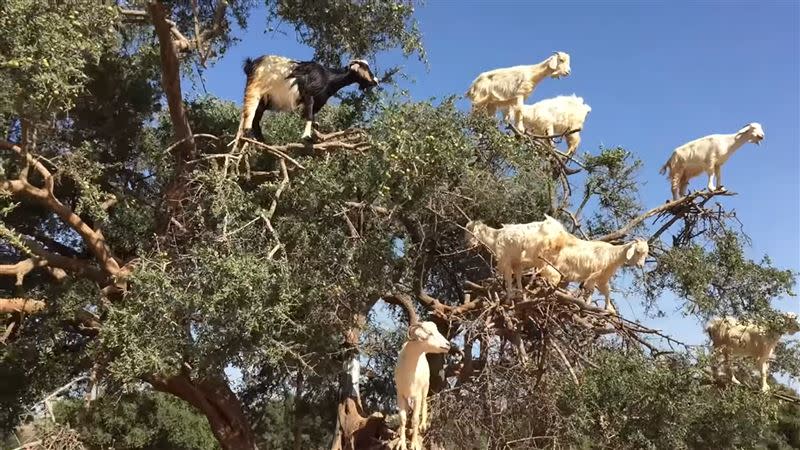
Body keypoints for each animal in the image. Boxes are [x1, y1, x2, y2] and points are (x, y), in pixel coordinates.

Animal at [238, 54, 378, 142]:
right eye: (365, 67)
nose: (376, 80)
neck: (328, 77)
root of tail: (251, 64)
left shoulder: (318, 102)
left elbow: (313, 119)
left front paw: (317, 136)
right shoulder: (309, 94)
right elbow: (309, 115)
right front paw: (306, 136)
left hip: (263, 100)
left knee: (256, 120)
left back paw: (263, 142)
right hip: (254, 90)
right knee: (249, 112)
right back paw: (249, 136)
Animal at [394, 320, 450, 450]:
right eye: (429, 333)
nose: (447, 344)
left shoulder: (417, 396)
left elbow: (415, 419)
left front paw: (414, 444)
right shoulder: (400, 394)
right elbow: (402, 419)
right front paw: (402, 444)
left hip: (425, 388)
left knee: (425, 403)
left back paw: (423, 425)